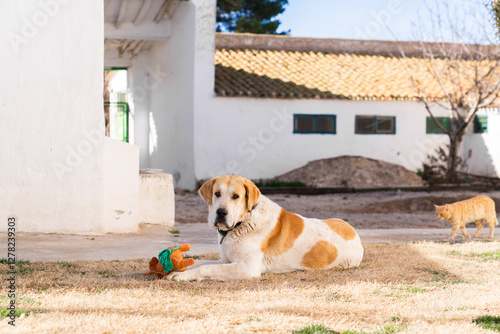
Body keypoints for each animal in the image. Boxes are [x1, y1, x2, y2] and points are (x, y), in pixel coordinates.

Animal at [168, 175, 364, 282]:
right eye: (217, 194)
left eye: (236, 196)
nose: (221, 212)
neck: (242, 222)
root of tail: (354, 232)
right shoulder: (226, 261)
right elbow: (198, 262)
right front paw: (175, 268)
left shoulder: (247, 268)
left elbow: (206, 269)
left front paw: (180, 276)